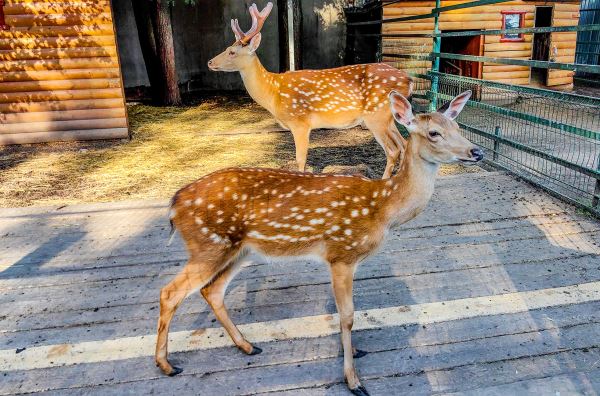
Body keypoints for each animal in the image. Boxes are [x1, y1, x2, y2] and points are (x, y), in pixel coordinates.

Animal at [156, 90, 482, 396]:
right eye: (434, 133)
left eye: (458, 126)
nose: (476, 151)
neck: (382, 209)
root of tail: (174, 203)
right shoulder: (341, 254)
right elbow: (347, 316)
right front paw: (353, 380)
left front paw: (354, 352)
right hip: (209, 245)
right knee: (170, 292)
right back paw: (166, 365)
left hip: (240, 250)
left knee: (212, 290)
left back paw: (247, 346)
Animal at [207, 1, 412, 178]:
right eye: (227, 48)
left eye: (232, 52)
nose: (210, 62)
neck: (273, 92)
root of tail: (408, 80)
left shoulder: (300, 122)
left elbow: (300, 160)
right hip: (388, 118)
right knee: (404, 144)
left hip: (376, 116)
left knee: (393, 150)